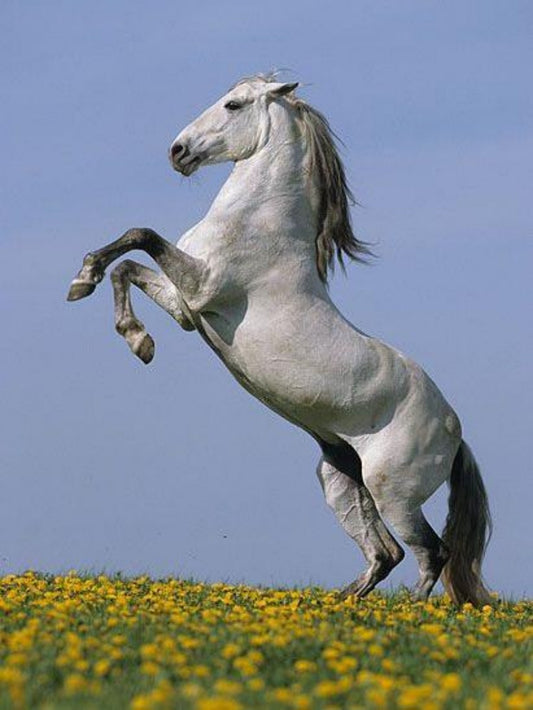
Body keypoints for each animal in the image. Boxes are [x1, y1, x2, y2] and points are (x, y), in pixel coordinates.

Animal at [67, 74, 492, 606]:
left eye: (233, 104)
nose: (178, 151)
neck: (259, 222)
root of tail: (455, 432)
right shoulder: (187, 307)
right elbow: (126, 265)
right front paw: (120, 322)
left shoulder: (201, 285)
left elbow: (139, 235)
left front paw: (106, 306)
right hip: (340, 478)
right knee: (385, 553)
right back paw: (342, 602)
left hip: (392, 490)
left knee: (432, 553)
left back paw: (408, 612)